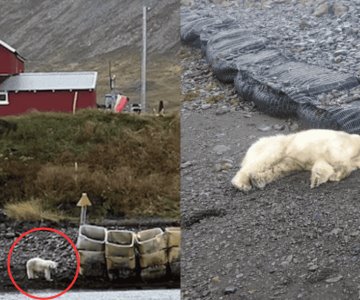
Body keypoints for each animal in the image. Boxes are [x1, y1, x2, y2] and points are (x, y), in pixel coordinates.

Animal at [231, 128, 360, 190]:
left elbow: (322, 164)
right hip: (278, 145)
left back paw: (258, 180)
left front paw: (317, 179)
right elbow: (337, 155)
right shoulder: (340, 143)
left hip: (290, 158)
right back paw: (242, 184)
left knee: (283, 168)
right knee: (264, 160)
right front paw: (337, 174)